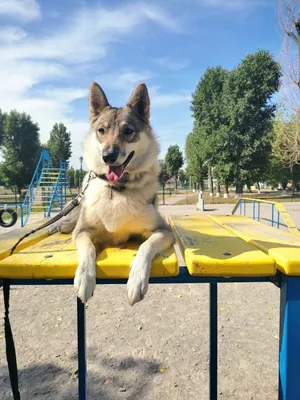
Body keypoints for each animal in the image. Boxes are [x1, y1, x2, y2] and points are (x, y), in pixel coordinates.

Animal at [48, 82, 176, 306]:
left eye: (128, 131)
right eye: (101, 131)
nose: (108, 156)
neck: (117, 190)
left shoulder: (163, 231)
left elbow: (146, 246)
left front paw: (136, 280)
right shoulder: (83, 231)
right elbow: (88, 248)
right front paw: (84, 278)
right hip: (79, 205)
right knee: (72, 217)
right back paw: (60, 224)